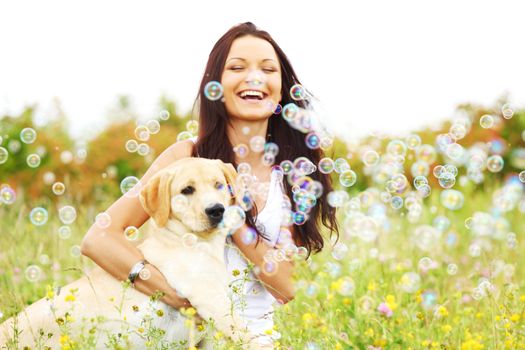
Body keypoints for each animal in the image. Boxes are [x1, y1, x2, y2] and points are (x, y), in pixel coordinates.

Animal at [0, 159, 262, 350]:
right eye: (187, 190)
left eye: (219, 185)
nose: (216, 210)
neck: (194, 242)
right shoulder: (212, 302)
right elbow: (253, 338)